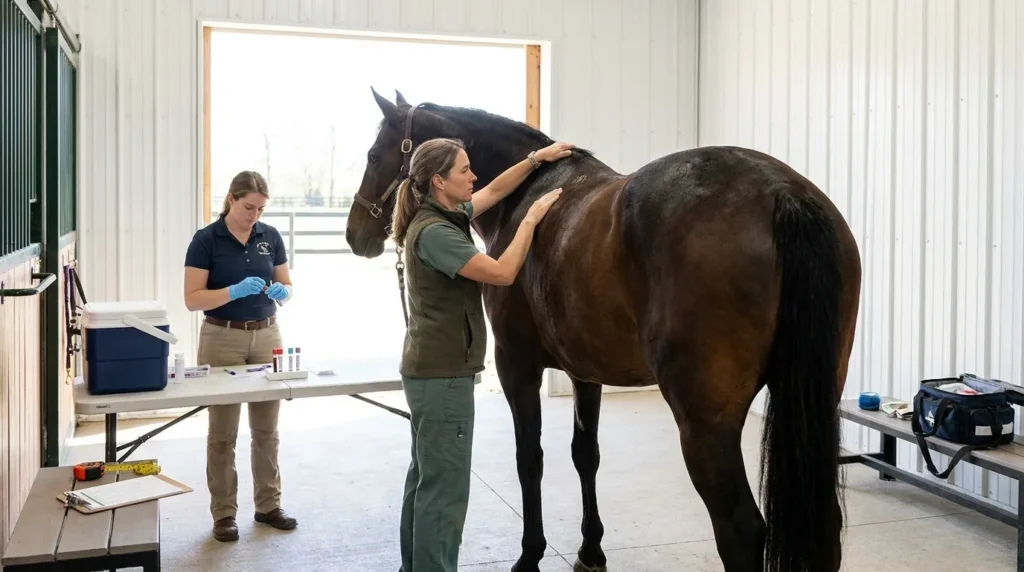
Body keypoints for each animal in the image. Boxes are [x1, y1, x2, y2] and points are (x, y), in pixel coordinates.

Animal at [345, 88, 862, 572]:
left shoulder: (517, 366)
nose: (354, 234)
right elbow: (584, 454)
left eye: (373, 155)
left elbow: (530, 458)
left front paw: (530, 555)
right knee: (827, 527)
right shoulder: (585, 371)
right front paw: (591, 550)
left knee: (741, 529)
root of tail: (782, 194)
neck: (526, 197)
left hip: (705, 425)